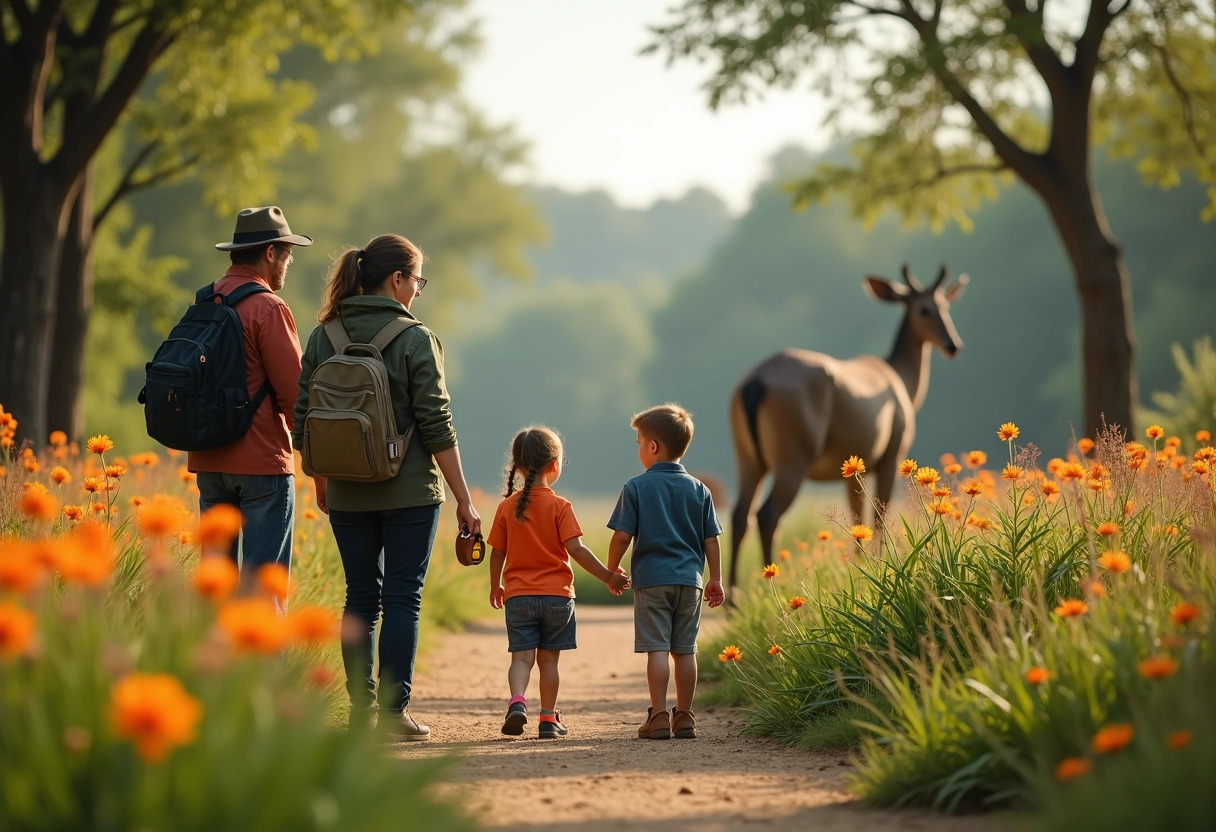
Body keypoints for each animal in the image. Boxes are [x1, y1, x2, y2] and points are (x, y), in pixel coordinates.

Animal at [719, 261, 967, 591]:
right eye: (924, 309)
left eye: (946, 305)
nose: (954, 345)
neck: (904, 383)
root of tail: (754, 384)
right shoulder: (892, 452)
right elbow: (879, 514)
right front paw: (881, 565)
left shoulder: (853, 466)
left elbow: (857, 518)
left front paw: (862, 567)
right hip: (793, 453)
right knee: (767, 514)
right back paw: (774, 583)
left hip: (746, 454)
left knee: (738, 514)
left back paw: (734, 595)